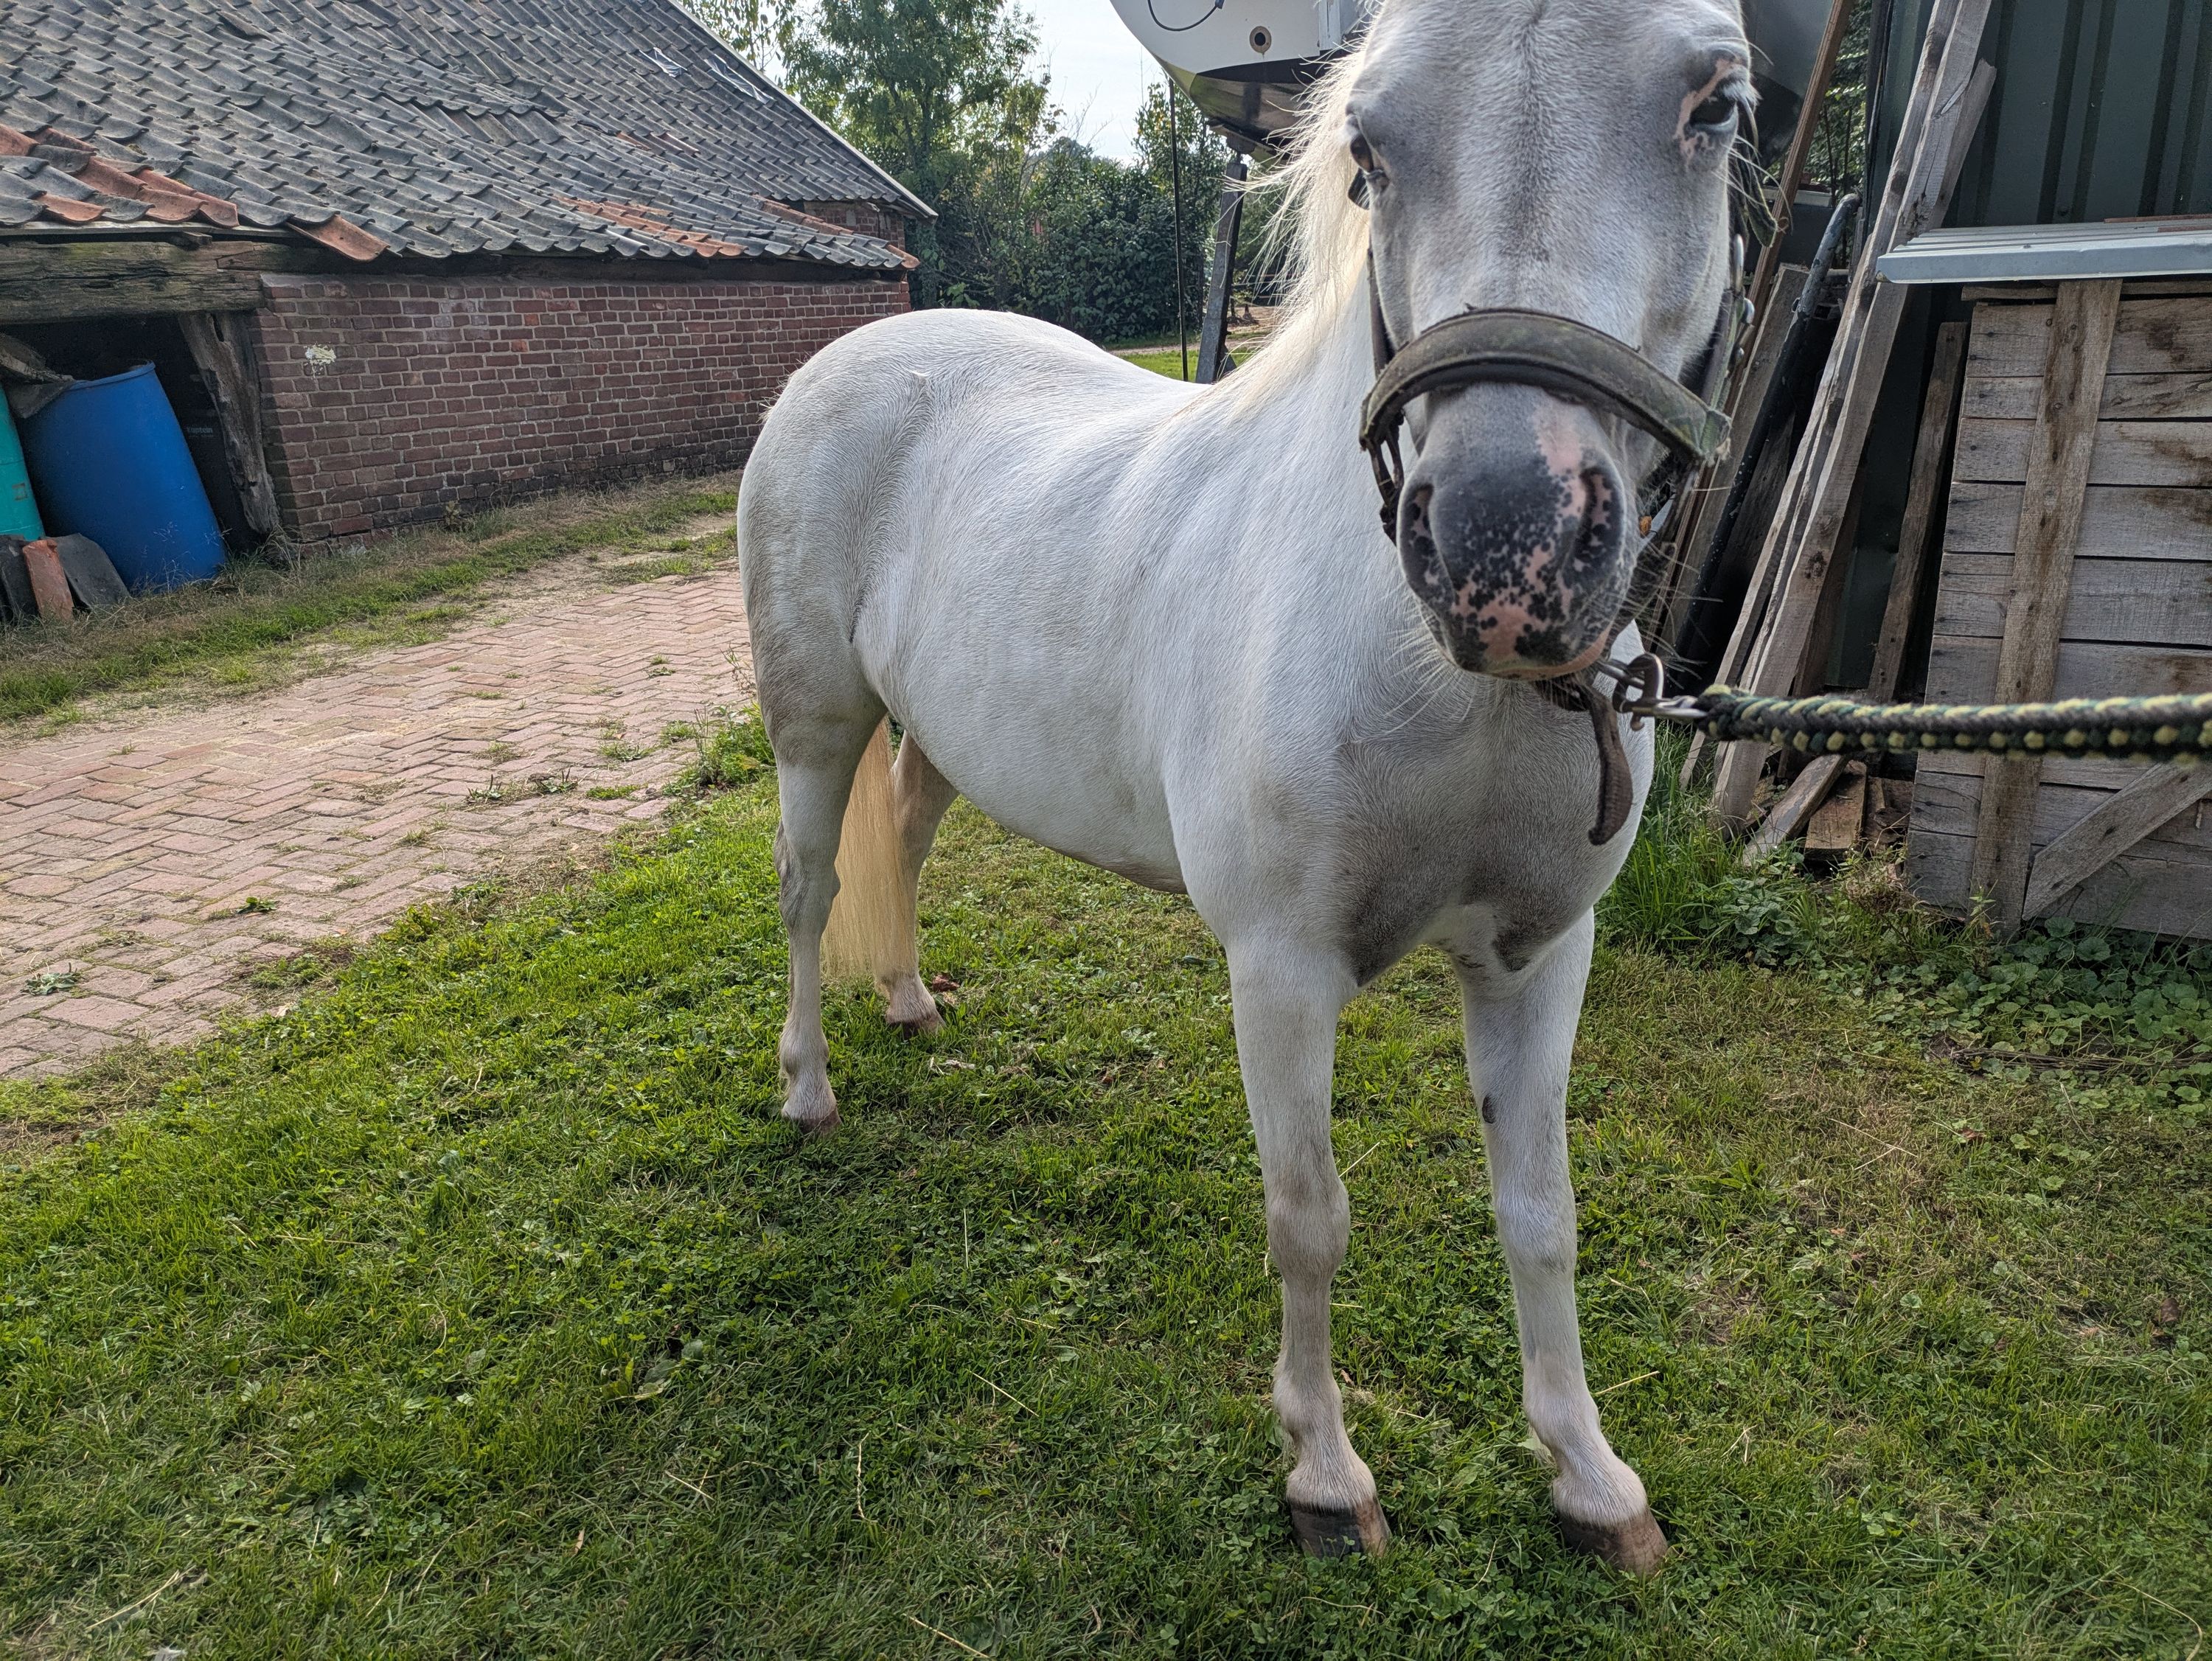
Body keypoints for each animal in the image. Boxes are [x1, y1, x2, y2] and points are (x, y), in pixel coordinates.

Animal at [736, 0, 1753, 1572]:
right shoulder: (1279, 971)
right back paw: (808, 1087)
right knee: (808, 884)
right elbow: (1309, 1216)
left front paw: (1592, 1479)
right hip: (814, 722)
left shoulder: (1538, 959)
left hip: (943, 735)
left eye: (1717, 106)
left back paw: (906, 998)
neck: (1444, 686)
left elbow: (1541, 1213)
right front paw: (1326, 1474)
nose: (1507, 544)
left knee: (901, 831)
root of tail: (849, 359)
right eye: (1368, 149)